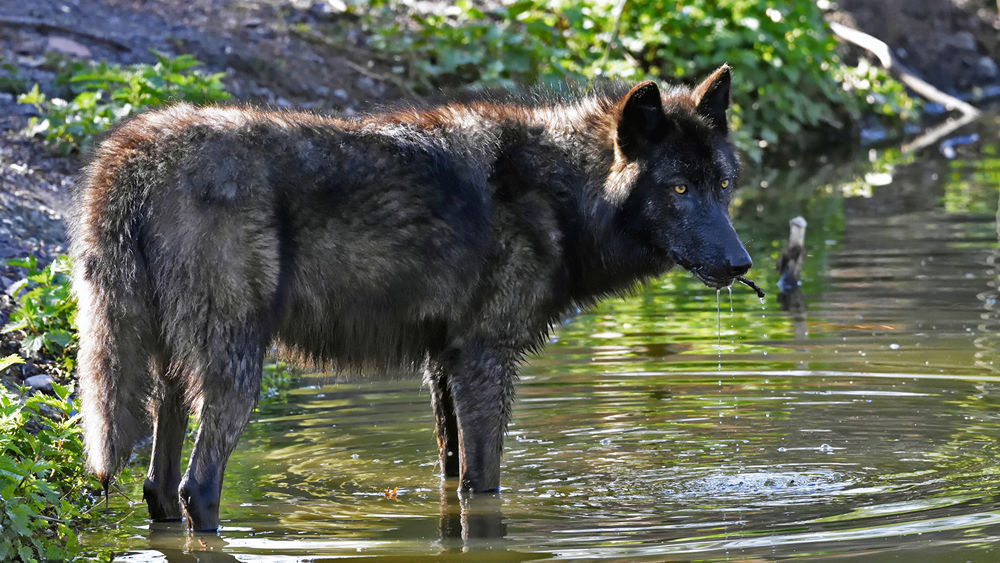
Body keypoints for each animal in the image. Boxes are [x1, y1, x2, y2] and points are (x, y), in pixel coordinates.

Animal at [70, 64, 752, 532]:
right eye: (679, 188)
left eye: (721, 185)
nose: (741, 263)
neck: (561, 195)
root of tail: (134, 152)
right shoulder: (484, 361)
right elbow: (484, 481)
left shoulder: (442, 364)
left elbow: (452, 474)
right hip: (237, 371)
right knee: (198, 487)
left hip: (171, 372)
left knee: (159, 489)